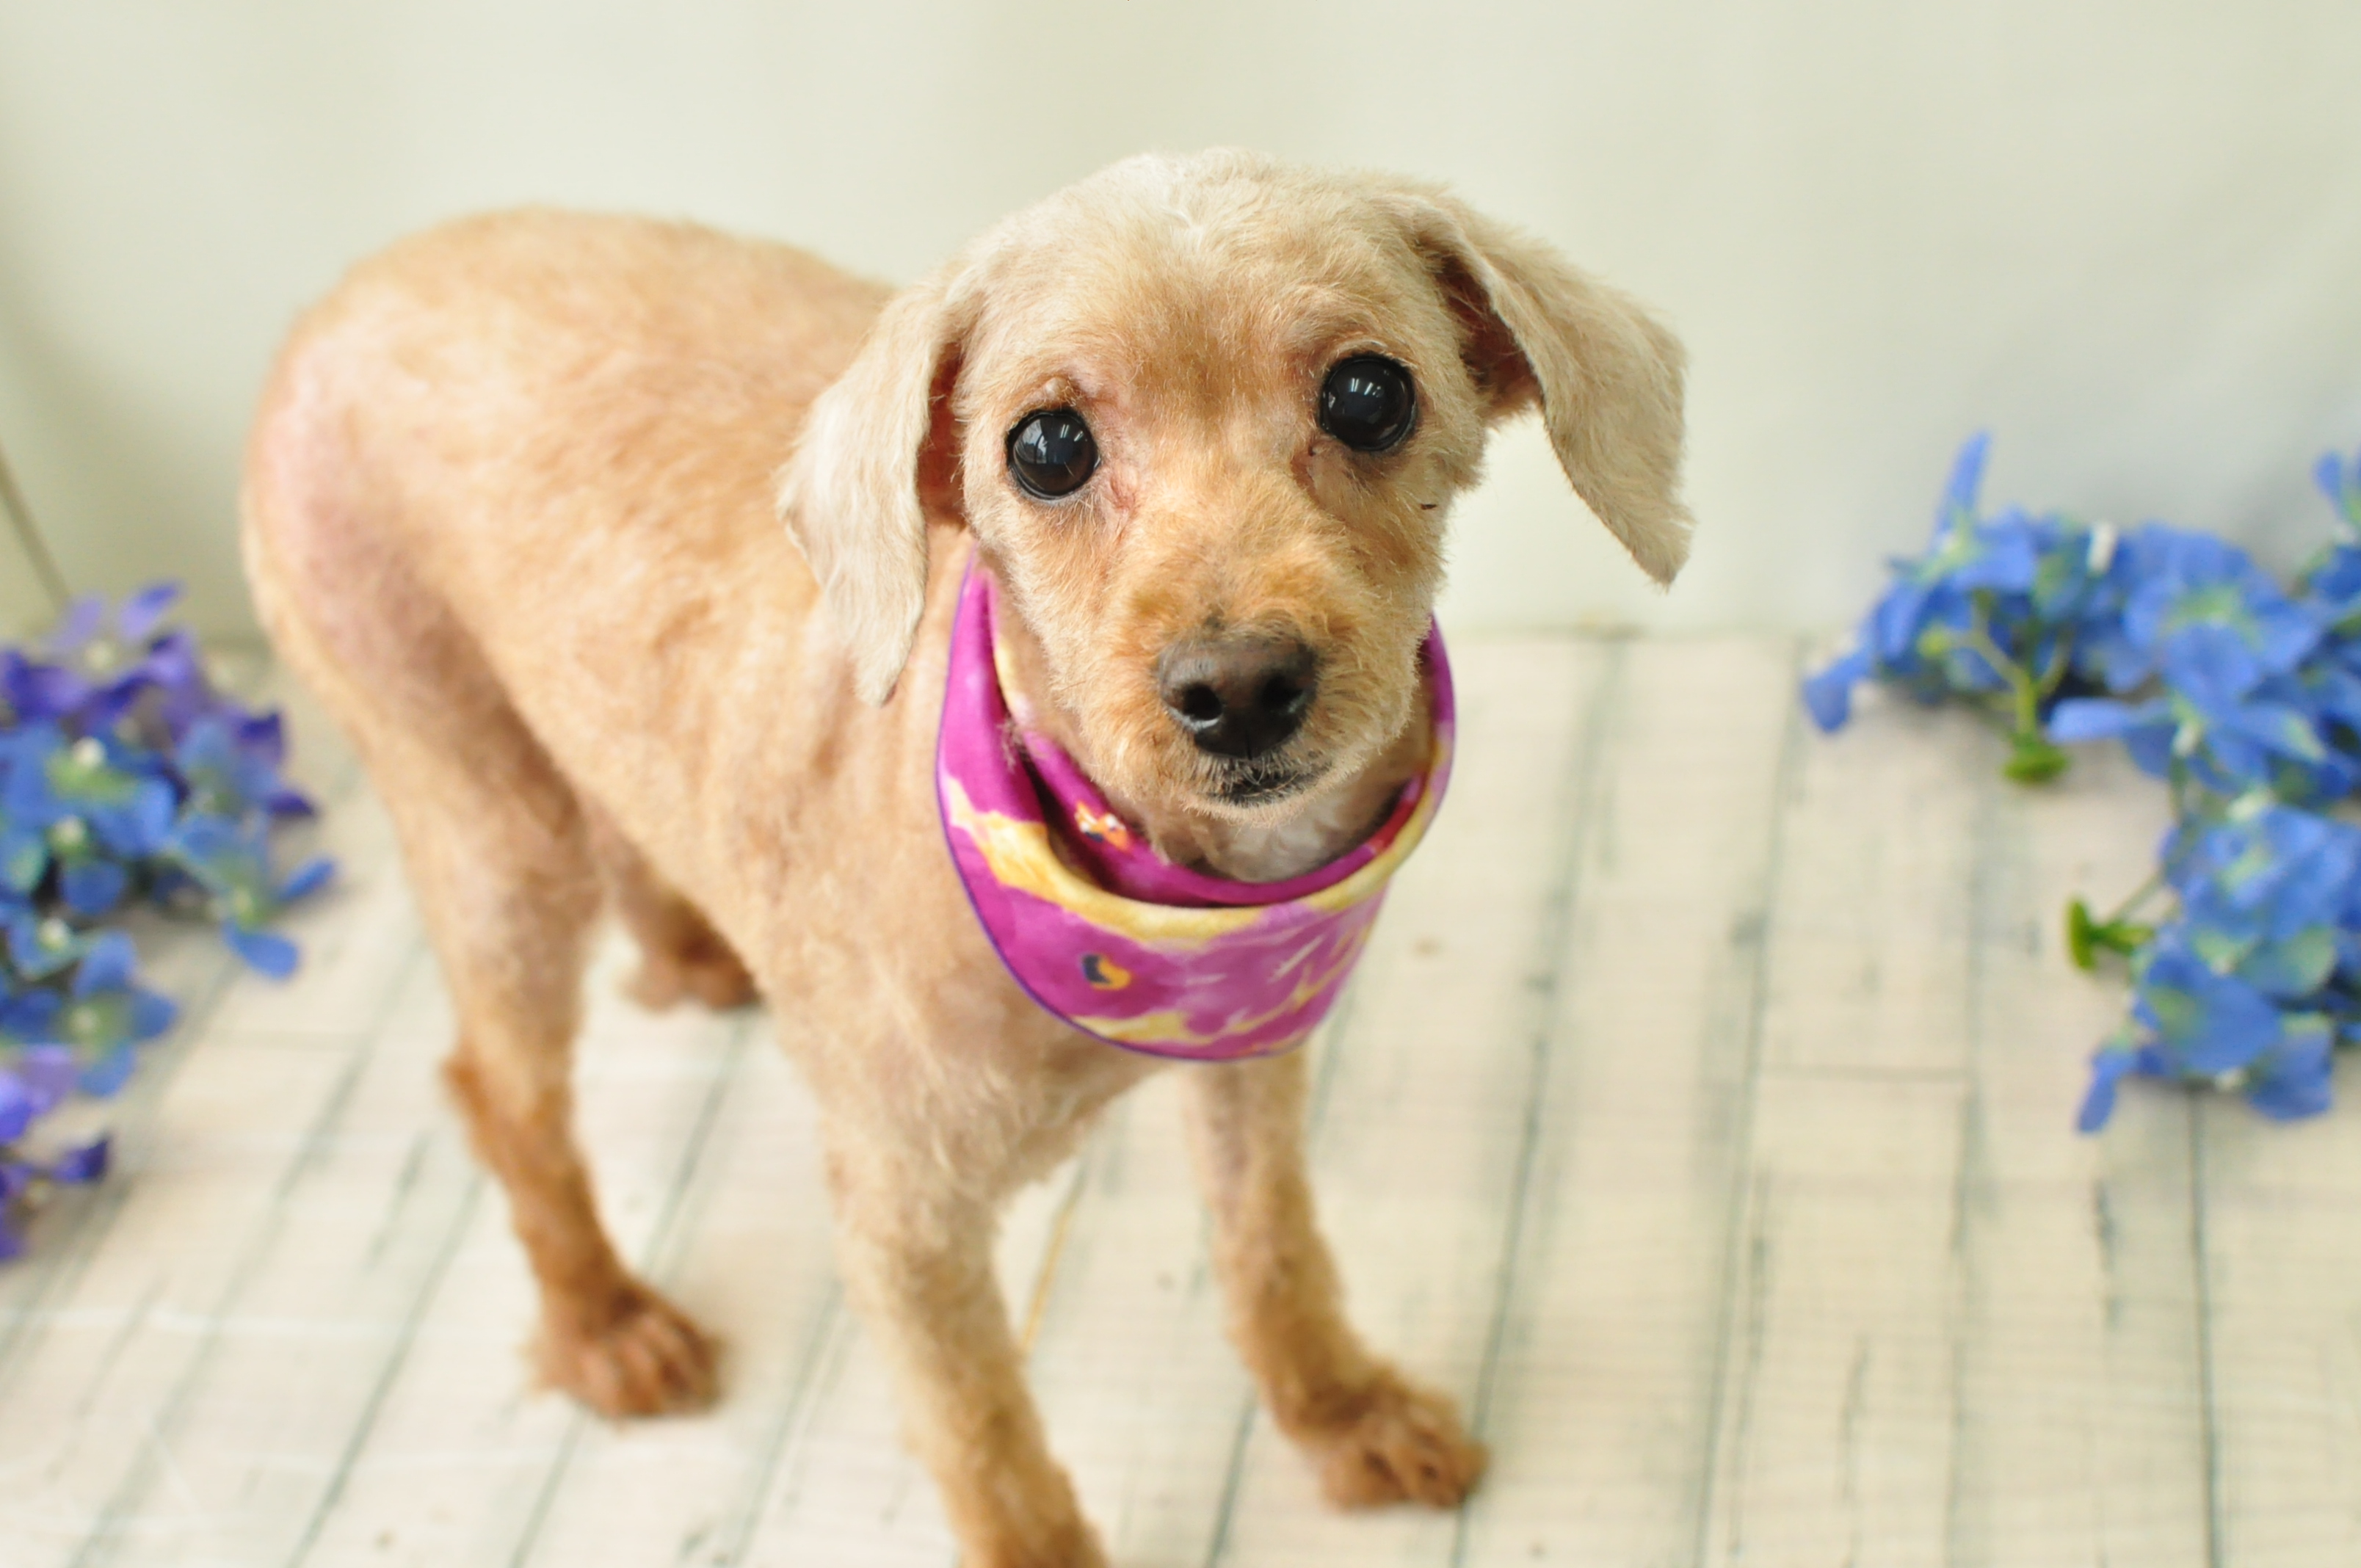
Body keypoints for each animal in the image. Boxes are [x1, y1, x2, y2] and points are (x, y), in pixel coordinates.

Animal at [240, 149, 1690, 1567]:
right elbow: (987, 1448)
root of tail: (329, 306)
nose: (1238, 689)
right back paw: (601, 1317)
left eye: (1371, 394)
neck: (1151, 902)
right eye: (1045, 446)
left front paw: (1340, 1410)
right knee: (499, 1089)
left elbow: (1271, 1246)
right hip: (485, 815)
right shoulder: (906, 1222)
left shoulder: (1251, 1060)